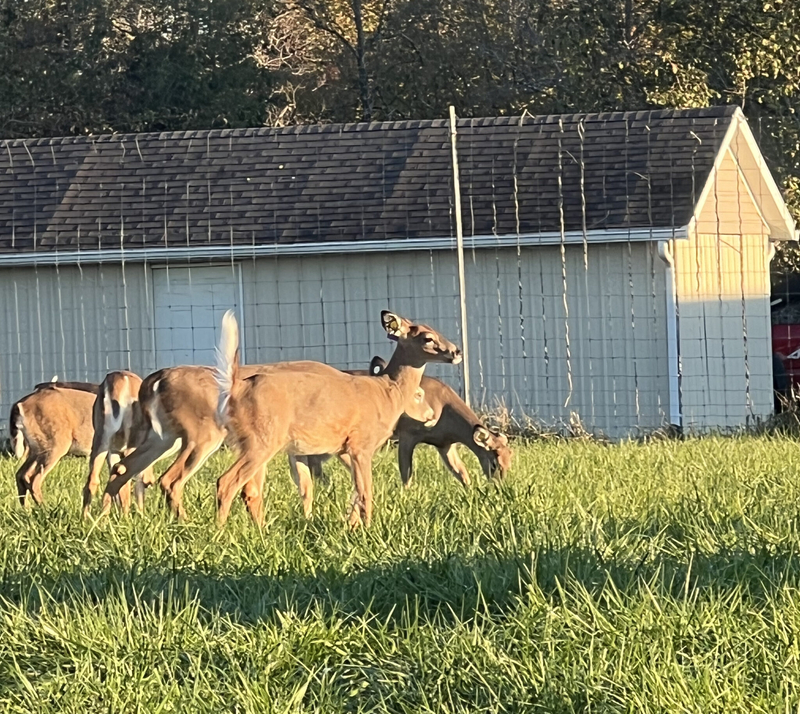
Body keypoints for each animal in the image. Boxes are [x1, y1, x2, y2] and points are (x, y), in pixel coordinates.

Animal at [214, 309, 461, 528]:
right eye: (427, 337)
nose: (457, 351)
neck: (388, 392)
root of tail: (236, 387)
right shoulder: (361, 445)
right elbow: (366, 492)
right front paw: (368, 529)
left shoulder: (346, 449)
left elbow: (355, 492)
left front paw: (351, 526)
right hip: (262, 439)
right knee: (226, 483)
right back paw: (220, 534)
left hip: (254, 443)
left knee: (248, 490)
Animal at [290, 356, 512, 491]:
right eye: (494, 461)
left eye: (510, 458)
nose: (500, 486)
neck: (442, 407)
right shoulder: (408, 434)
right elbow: (406, 473)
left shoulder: (444, 444)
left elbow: (461, 472)